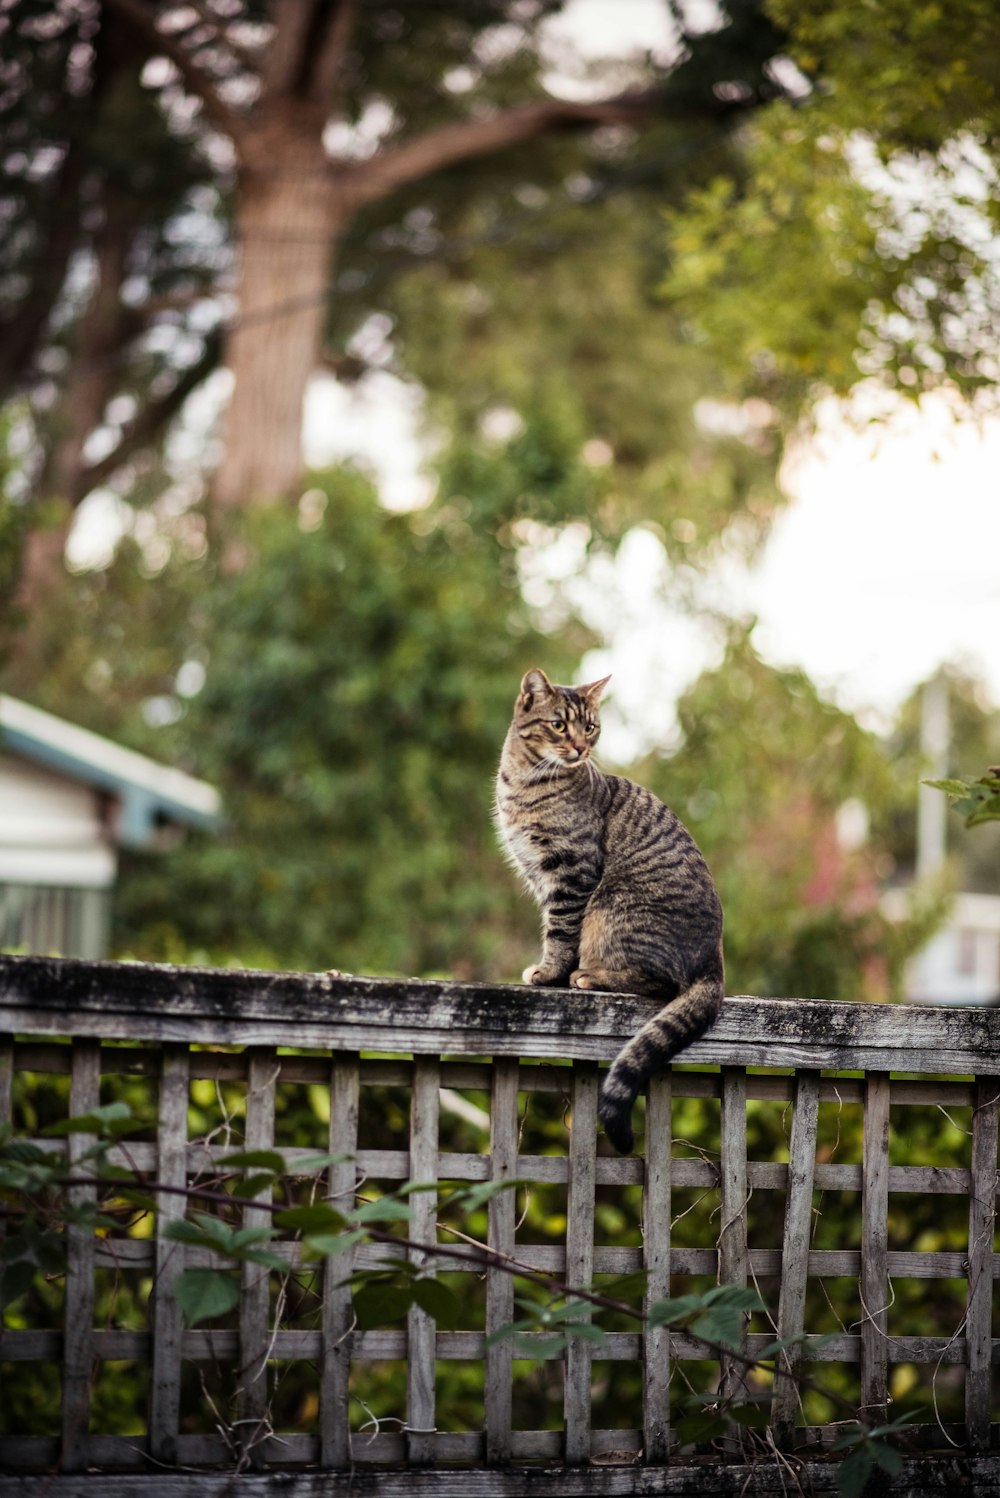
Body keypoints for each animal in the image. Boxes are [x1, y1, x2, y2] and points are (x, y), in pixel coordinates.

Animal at [494, 671, 721, 1156]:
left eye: (590, 727)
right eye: (560, 725)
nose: (581, 748)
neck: (523, 783)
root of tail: (716, 960)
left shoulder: (571, 871)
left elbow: (560, 932)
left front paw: (551, 974)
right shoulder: (539, 874)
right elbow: (552, 926)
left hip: (611, 908)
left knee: (658, 983)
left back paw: (590, 976)